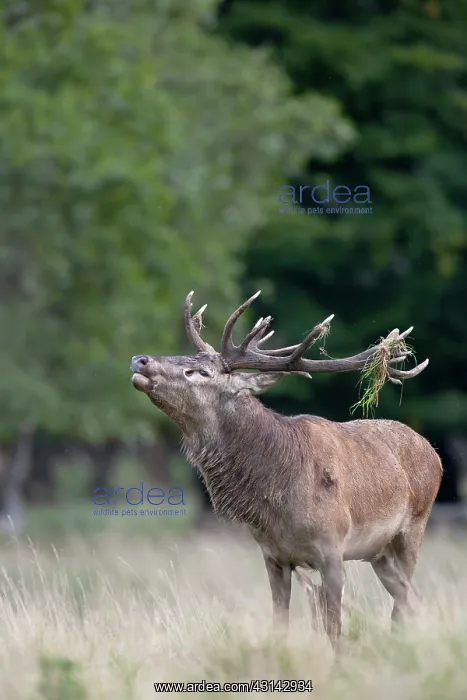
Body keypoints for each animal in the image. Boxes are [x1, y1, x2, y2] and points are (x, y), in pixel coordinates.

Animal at [130, 291, 442, 651]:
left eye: (199, 372)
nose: (139, 360)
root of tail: (434, 453)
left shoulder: (332, 549)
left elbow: (335, 631)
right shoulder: (273, 556)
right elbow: (279, 625)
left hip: (414, 526)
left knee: (404, 602)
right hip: (379, 552)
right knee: (410, 598)